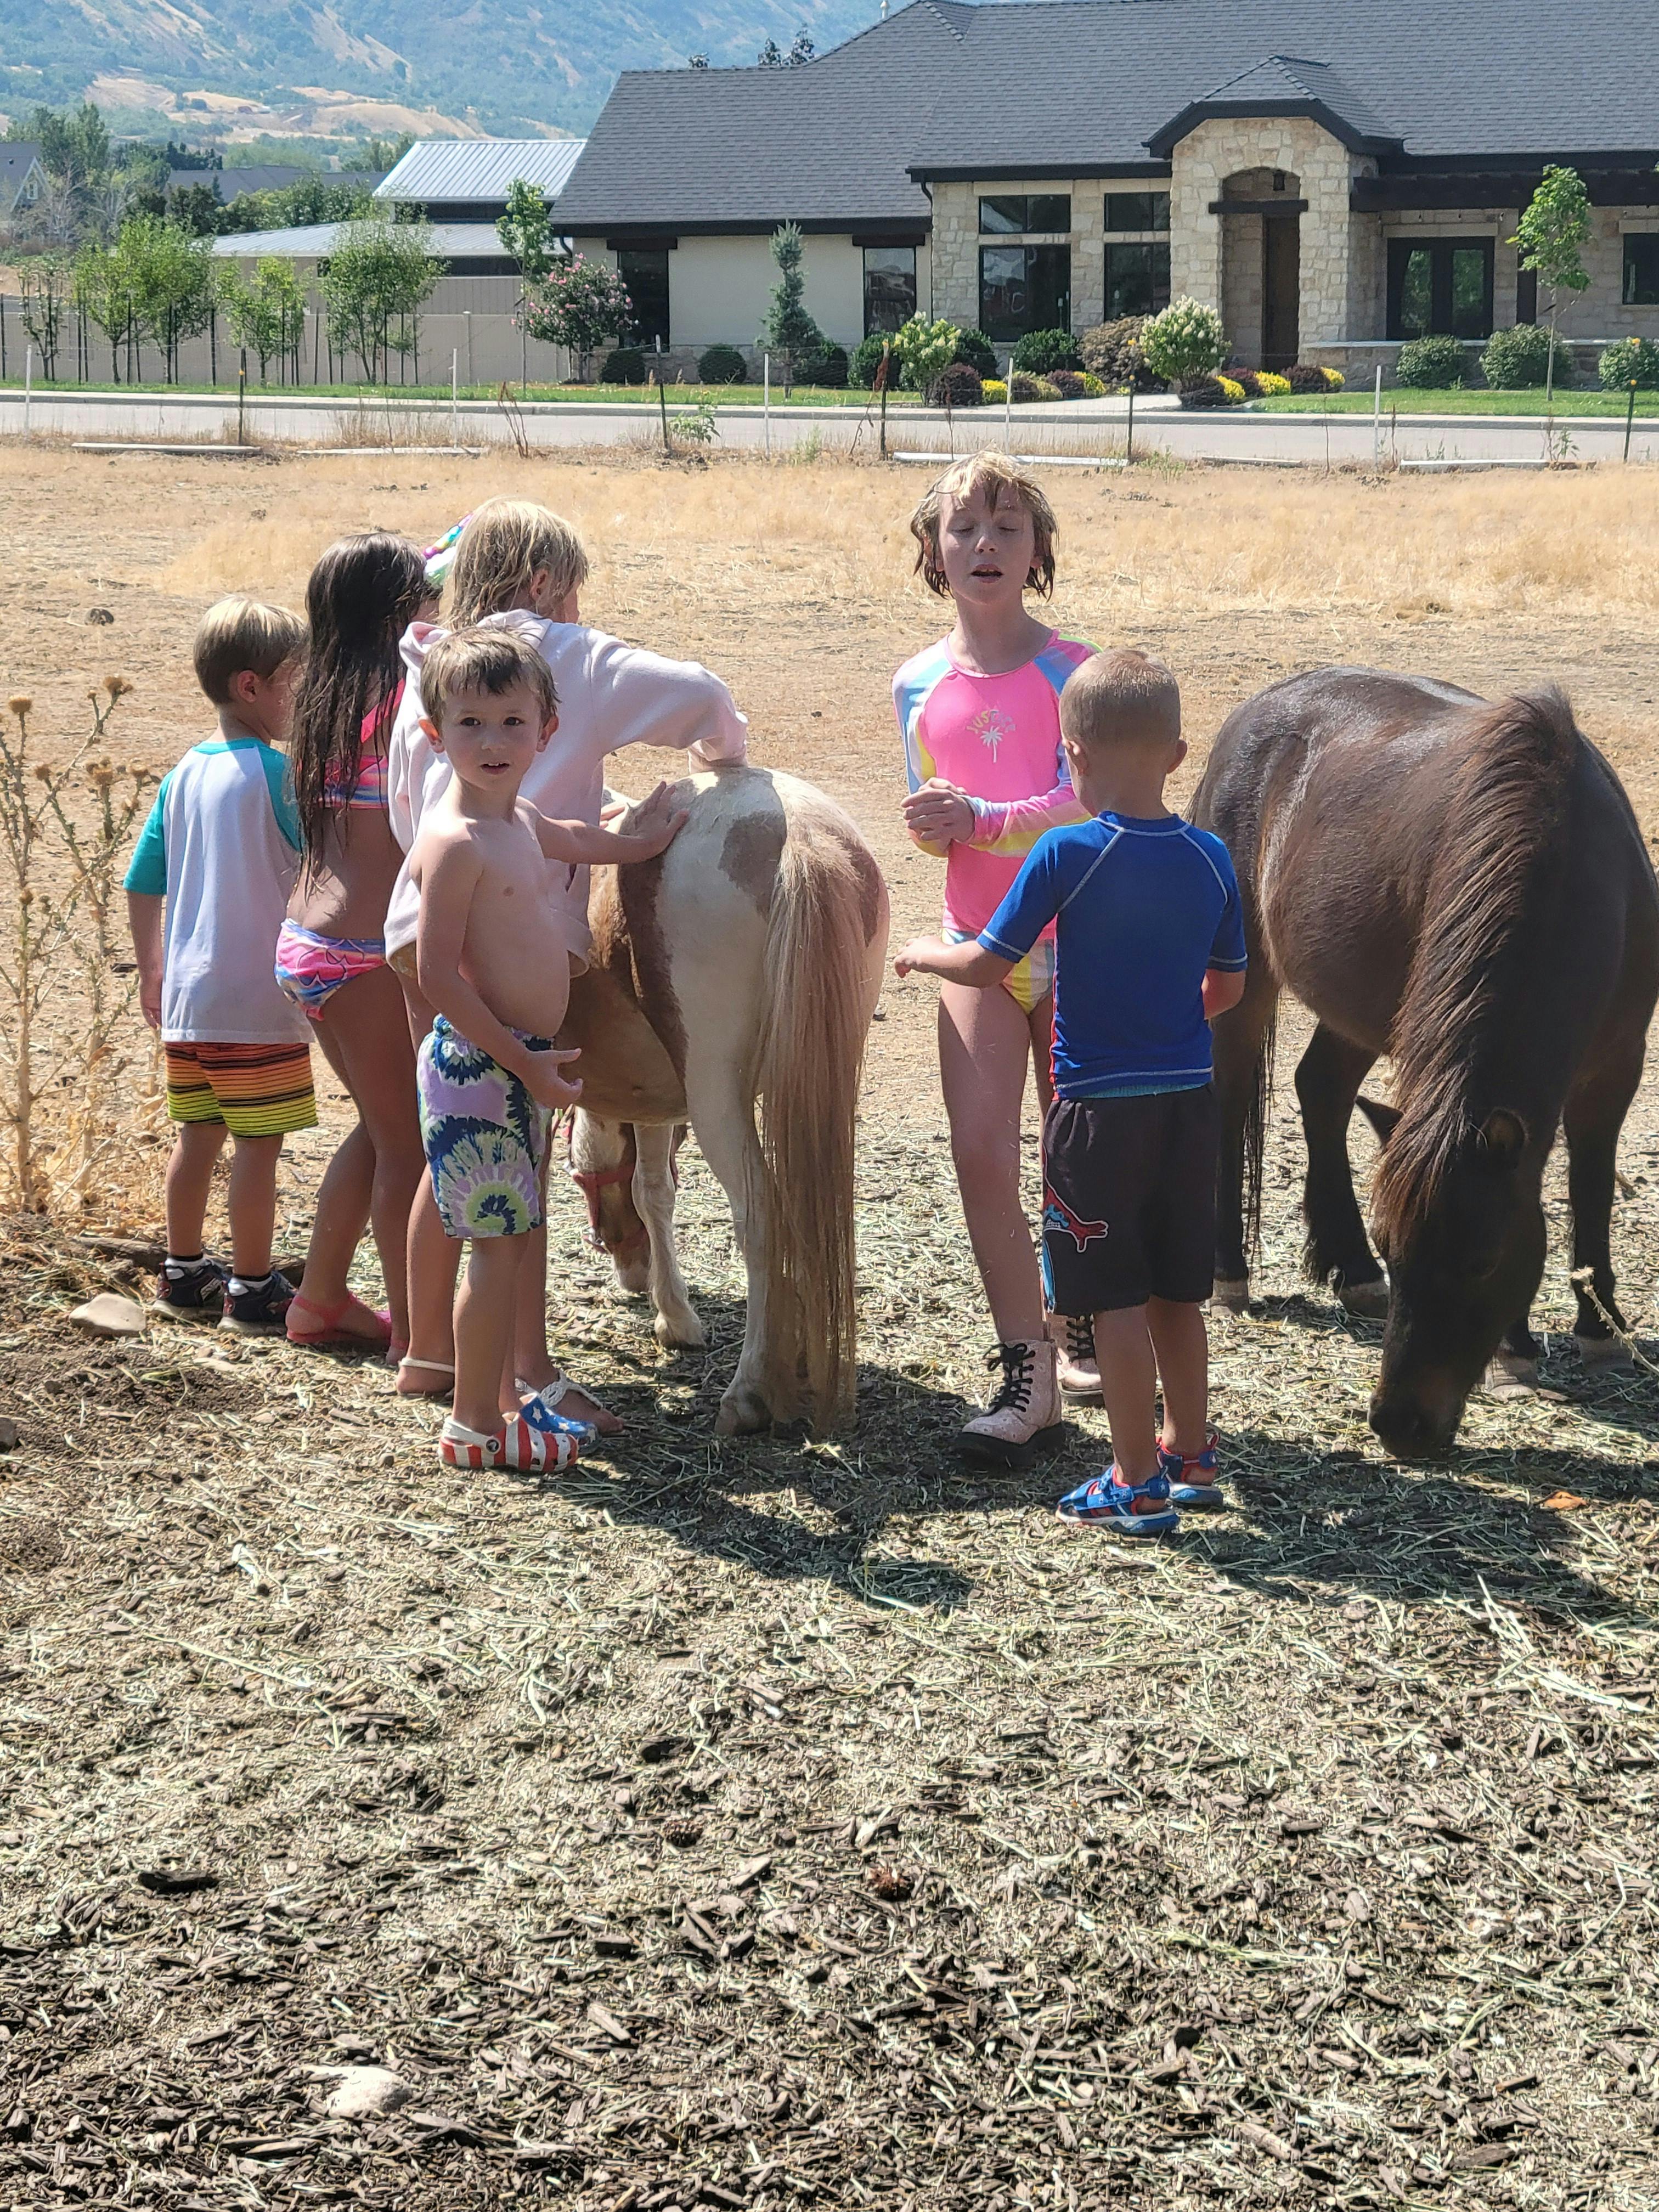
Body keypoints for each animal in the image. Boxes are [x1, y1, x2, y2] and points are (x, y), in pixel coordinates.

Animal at [557, 761, 889, 1435]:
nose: (629, 1268)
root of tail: (795, 833)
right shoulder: (655, 1100)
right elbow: (654, 1191)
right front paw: (676, 1316)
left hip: (717, 1094)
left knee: (762, 1215)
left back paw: (749, 1392)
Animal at [1193, 668, 1659, 1458]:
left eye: (1483, 1261)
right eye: (1398, 1248)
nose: (1398, 1424)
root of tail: (1252, 716)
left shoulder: (1617, 1066)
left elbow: (1591, 1186)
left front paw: (1602, 1331)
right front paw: (1514, 1355)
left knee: (1320, 1090)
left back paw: (1350, 1271)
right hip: (1247, 978)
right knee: (1226, 1107)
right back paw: (1230, 1276)